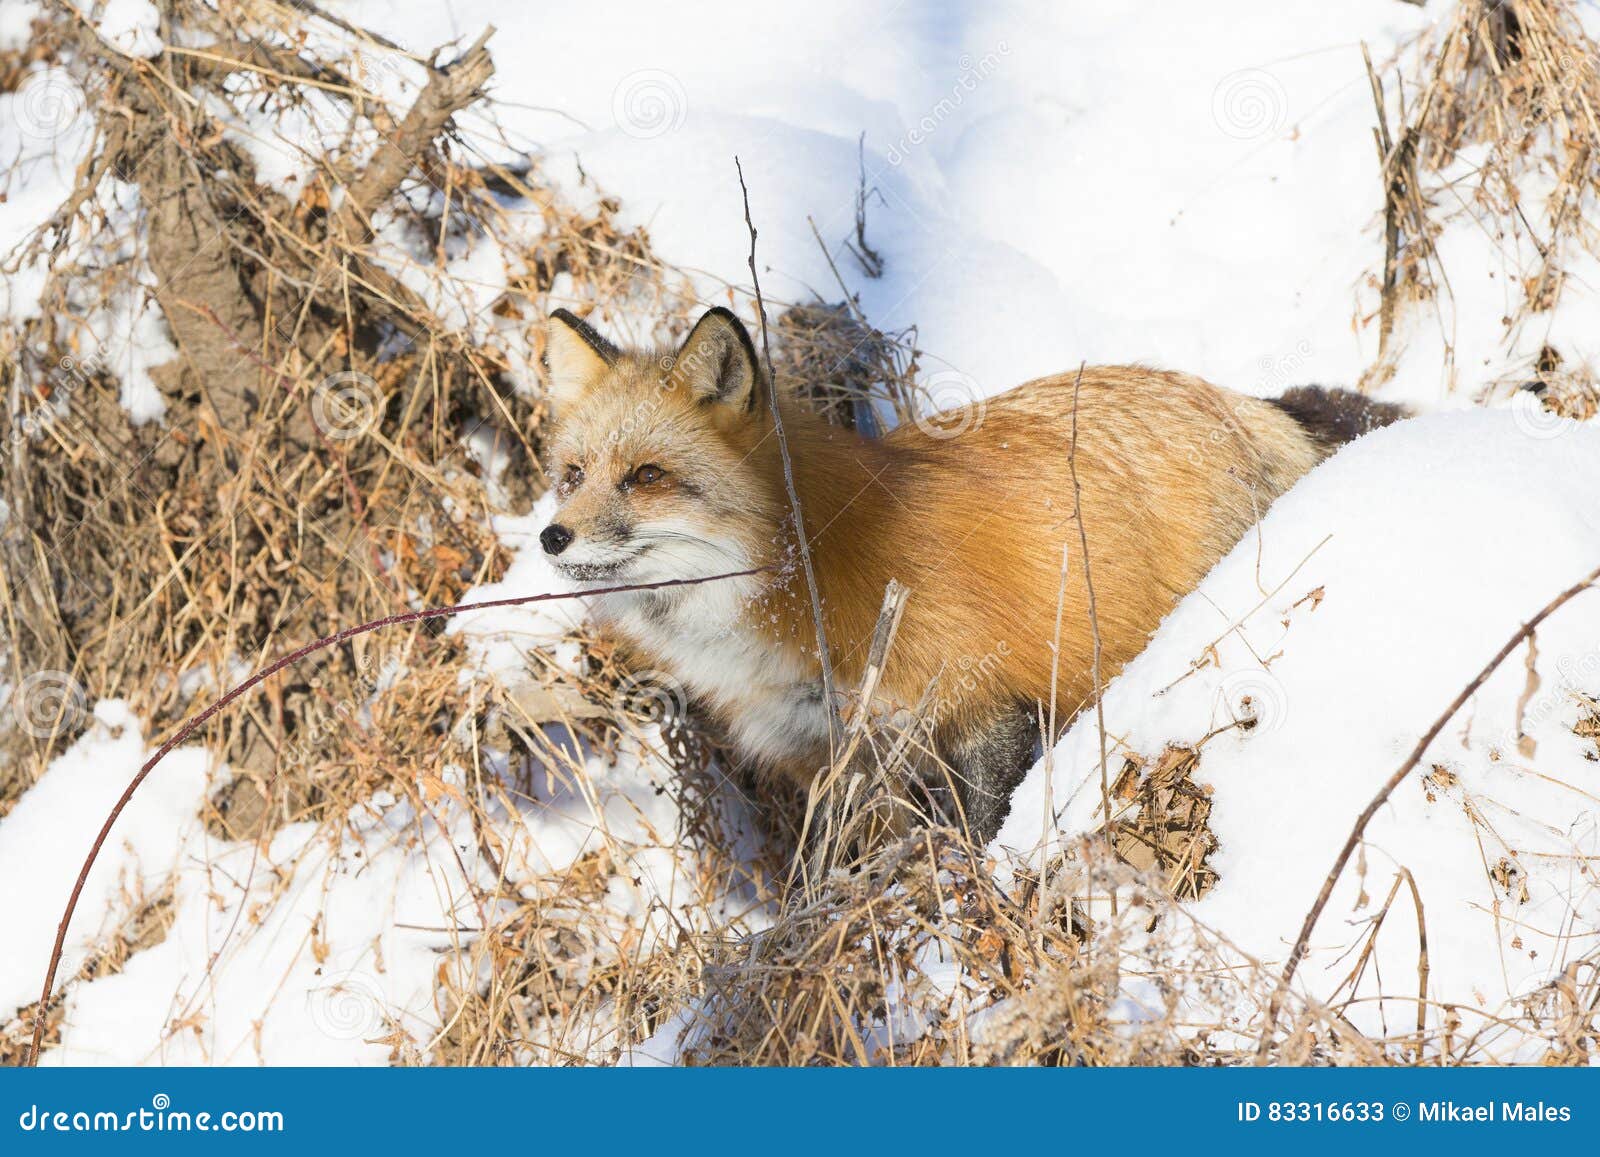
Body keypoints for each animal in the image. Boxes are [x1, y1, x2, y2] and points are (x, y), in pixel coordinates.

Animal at [538, 306, 1403, 840]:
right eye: (573, 473)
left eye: (647, 476)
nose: (551, 536)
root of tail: (1247, 404)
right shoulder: (840, 761)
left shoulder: (981, 702)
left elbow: (976, 834)